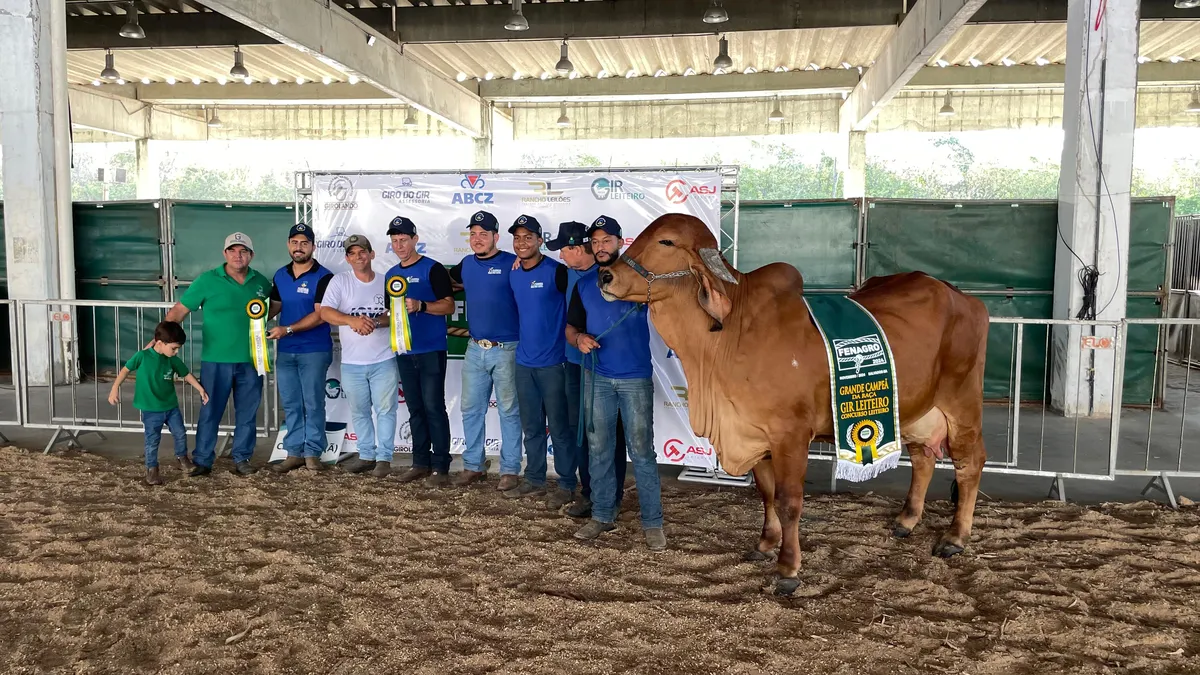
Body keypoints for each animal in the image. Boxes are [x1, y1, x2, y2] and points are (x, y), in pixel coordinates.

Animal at [595, 211, 988, 593]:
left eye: (666, 241)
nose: (605, 275)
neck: (730, 335)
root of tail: (962, 297)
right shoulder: (755, 434)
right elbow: (767, 494)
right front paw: (765, 544)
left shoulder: (791, 436)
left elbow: (788, 501)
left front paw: (788, 568)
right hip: (917, 410)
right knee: (923, 459)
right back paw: (906, 520)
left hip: (962, 402)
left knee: (970, 463)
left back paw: (955, 537)